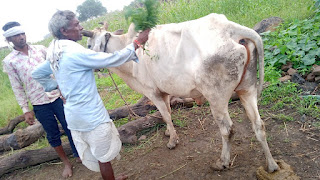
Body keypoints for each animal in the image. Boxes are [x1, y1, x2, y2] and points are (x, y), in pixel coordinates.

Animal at [82, 13, 280, 172]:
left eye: (89, 44)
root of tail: (231, 29)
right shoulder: (165, 91)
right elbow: (168, 113)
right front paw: (169, 133)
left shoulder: (153, 92)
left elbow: (165, 115)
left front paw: (172, 141)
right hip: (247, 89)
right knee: (259, 125)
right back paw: (271, 165)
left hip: (216, 97)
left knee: (228, 130)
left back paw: (222, 162)